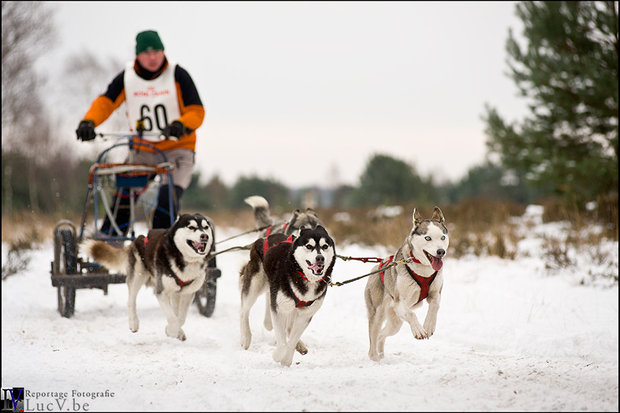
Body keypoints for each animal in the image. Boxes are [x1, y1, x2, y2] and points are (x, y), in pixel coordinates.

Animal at [82, 214, 213, 340]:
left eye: (206, 227)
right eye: (191, 227)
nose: (204, 236)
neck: (185, 261)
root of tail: (140, 236)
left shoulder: (187, 293)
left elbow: (180, 317)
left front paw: (174, 331)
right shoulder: (161, 291)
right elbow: (173, 318)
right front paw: (172, 331)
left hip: (174, 292)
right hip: (137, 276)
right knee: (131, 300)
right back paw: (133, 322)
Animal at [239, 224, 334, 366]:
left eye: (325, 246)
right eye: (309, 246)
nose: (320, 258)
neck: (302, 275)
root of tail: (265, 238)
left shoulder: (305, 314)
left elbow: (292, 340)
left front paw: (287, 359)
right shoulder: (279, 309)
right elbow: (283, 343)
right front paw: (278, 356)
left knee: (288, 327)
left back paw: (300, 345)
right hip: (254, 286)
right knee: (244, 311)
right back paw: (245, 338)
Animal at [366, 206, 448, 360]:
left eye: (442, 237)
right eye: (427, 238)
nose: (441, 251)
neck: (423, 269)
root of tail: (377, 266)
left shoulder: (435, 293)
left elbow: (435, 305)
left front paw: (428, 326)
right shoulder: (400, 303)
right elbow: (411, 314)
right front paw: (419, 330)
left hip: (395, 322)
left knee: (381, 335)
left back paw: (381, 355)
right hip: (378, 314)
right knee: (374, 338)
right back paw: (375, 358)